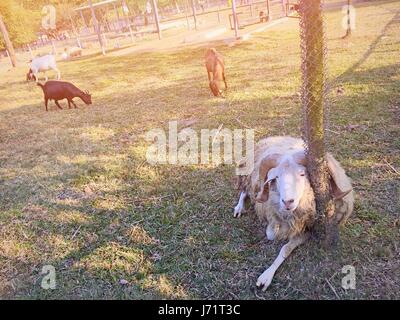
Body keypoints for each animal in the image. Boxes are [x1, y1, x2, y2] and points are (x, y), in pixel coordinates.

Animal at [234, 136, 354, 292]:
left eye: (302, 174)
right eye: (276, 177)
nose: (287, 202)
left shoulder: (309, 230)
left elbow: (286, 248)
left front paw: (267, 275)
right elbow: (271, 234)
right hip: (250, 177)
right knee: (245, 191)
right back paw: (239, 207)